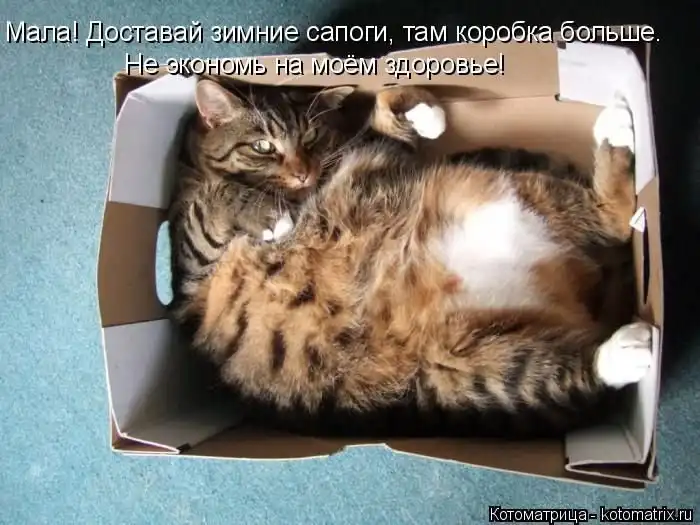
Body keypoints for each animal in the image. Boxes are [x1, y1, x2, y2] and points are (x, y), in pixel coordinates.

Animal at [168, 87, 653, 439]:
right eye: (262, 145)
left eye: (310, 139)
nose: (302, 171)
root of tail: (573, 283)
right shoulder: (192, 272)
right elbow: (214, 201)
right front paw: (266, 214)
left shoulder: (370, 162)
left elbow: (383, 112)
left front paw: (420, 109)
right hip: (462, 373)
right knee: (573, 367)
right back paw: (629, 350)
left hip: (508, 198)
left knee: (615, 222)